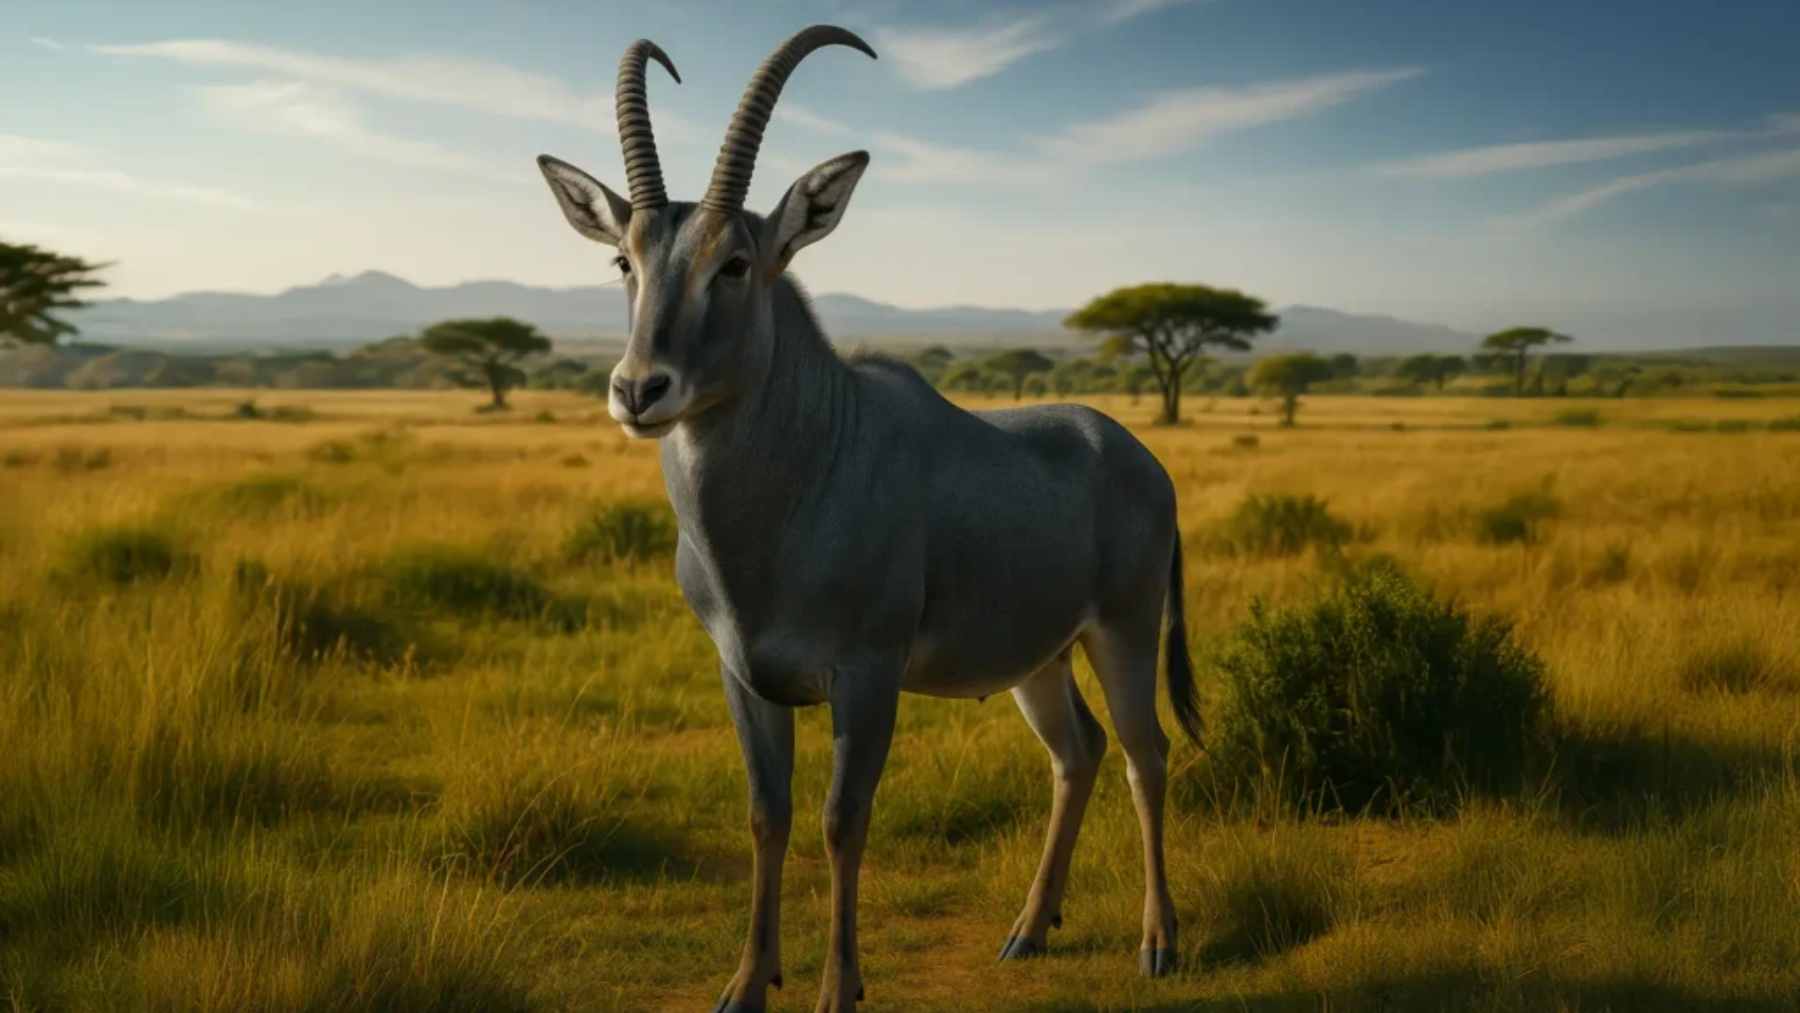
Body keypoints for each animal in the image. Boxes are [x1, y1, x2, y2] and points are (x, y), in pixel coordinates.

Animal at [536, 26, 1201, 1011]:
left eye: (735, 262)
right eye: (627, 258)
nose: (639, 389)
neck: (796, 485)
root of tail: (1136, 456)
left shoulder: (867, 676)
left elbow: (842, 819)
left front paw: (836, 986)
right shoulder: (744, 677)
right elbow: (767, 815)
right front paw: (747, 981)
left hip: (1123, 629)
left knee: (1143, 752)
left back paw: (1157, 942)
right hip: (1038, 660)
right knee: (1076, 752)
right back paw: (1028, 930)